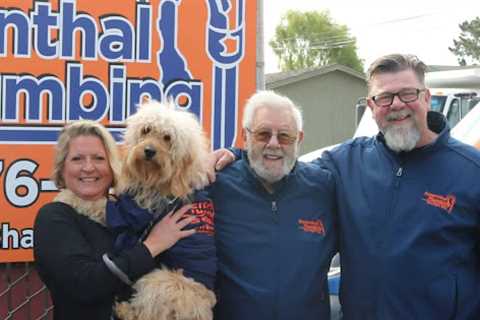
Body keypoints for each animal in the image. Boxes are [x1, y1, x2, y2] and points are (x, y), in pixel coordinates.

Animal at [114, 101, 216, 320]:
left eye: (168, 138)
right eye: (146, 130)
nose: (149, 151)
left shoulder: (141, 209)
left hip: (158, 279)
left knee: (144, 313)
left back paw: (123, 309)